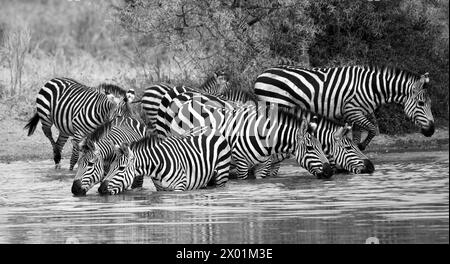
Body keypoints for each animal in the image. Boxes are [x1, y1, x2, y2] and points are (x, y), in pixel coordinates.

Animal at [98, 127, 232, 195]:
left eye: (121, 168)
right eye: (109, 167)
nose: (101, 189)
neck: (157, 166)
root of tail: (209, 127)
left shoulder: (179, 187)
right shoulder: (160, 189)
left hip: (222, 174)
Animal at [169, 101, 330, 179]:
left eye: (322, 146)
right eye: (310, 148)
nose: (330, 171)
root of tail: (187, 103)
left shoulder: (263, 166)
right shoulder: (241, 164)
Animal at [255, 65, 434, 151]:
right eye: (421, 104)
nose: (431, 131)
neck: (372, 88)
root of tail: (261, 75)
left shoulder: (357, 114)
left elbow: (364, 133)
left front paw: (358, 151)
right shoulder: (353, 111)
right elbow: (373, 130)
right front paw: (361, 147)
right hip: (275, 104)